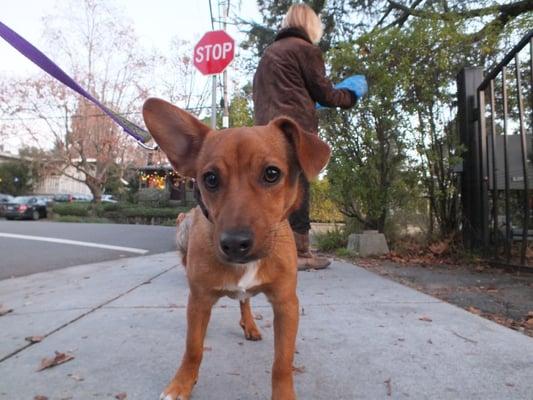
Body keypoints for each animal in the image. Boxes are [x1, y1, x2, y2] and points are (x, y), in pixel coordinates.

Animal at [143, 97, 330, 400]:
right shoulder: (199, 301)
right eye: (210, 178)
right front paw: (181, 384)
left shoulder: (286, 304)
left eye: (272, 173)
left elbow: (282, 363)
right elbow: (193, 349)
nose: (234, 243)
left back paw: (250, 325)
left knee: (245, 301)